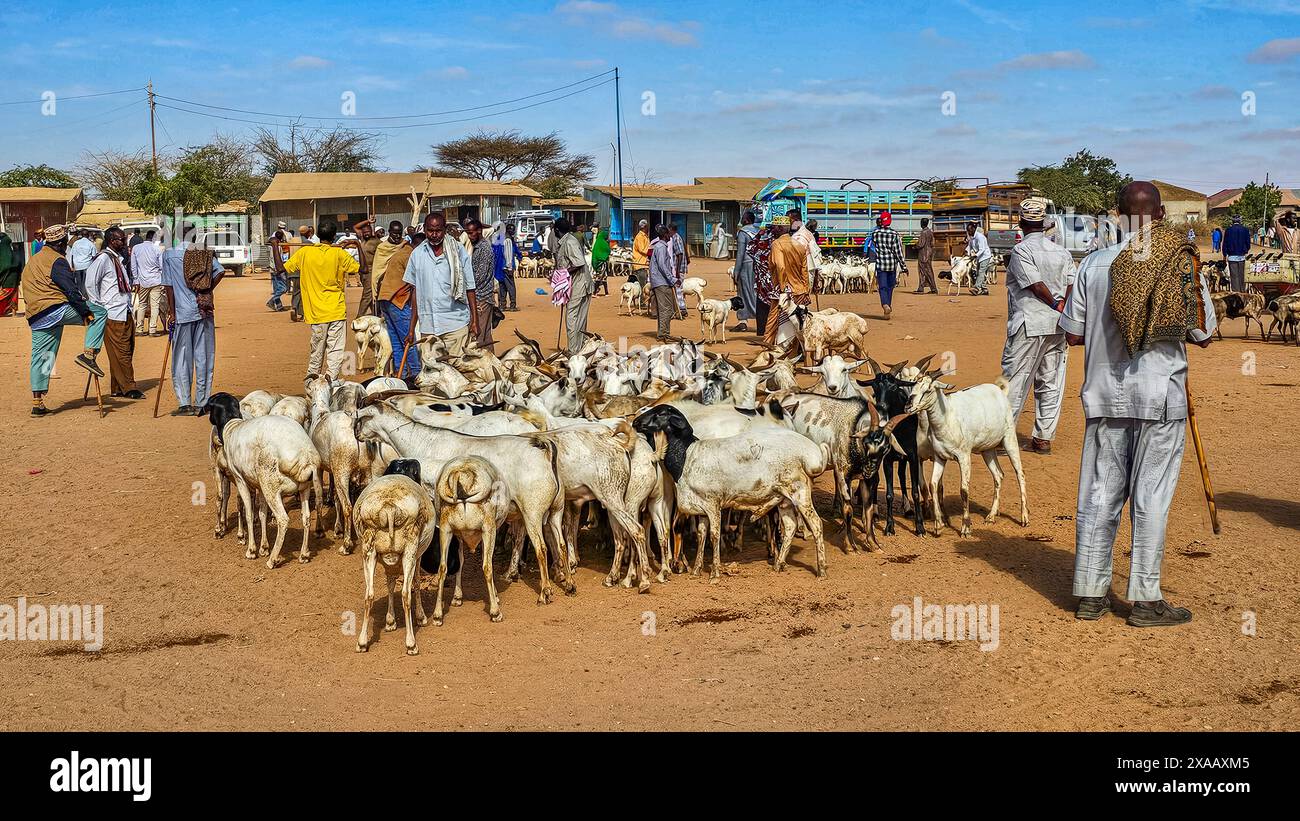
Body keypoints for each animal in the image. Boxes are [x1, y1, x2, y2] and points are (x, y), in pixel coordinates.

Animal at [195, 394, 322, 566]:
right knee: (306, 517)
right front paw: (263, 547)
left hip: (271, 486)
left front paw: (252, 550)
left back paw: (273, 559)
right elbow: (261, 513)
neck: (231, 428)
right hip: (303, 488)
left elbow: (248, 513)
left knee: (283, 519)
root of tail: (305, 458)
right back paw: (303, 554)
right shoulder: (258, 486)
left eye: (209, 403)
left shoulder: (240, 480)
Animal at [356, 454, 436, 654]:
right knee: (406, 593)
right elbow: (416, 582)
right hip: (410, 549)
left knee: (369, 594)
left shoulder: (387, 560)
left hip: (368, 549)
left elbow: (390, 582)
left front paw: (390, 621)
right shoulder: (417, 556)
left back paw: (362, 642)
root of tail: (389, 507)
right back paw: (411, 643)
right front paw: (421, 617)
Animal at [631, 407, 832, 576]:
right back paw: (778, 564)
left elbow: (714, 535)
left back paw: (821, 569)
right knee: (790, 527)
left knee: (816, 524)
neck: (686, 456)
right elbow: (702, 534)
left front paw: (714, 572)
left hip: (799, 492)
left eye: (660, 413)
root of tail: (812, 454)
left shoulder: (713, 504)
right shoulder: (701, 507)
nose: (635, 421)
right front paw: (696, 570)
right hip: (784, 499)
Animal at [904, 366, 1024, 535]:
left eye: (928, 389)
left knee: (1020, 474)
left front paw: (966, 527)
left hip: (1010, 439)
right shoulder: (939, 457)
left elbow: (964, 490)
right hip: (988, 450)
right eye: (913, 386)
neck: (948, 418)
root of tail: (1000, 392)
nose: (908, 406)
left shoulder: (964, 457)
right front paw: (938, 525)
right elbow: (933, 484)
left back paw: (1024, 518)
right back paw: (991, 516)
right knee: (998, 475)